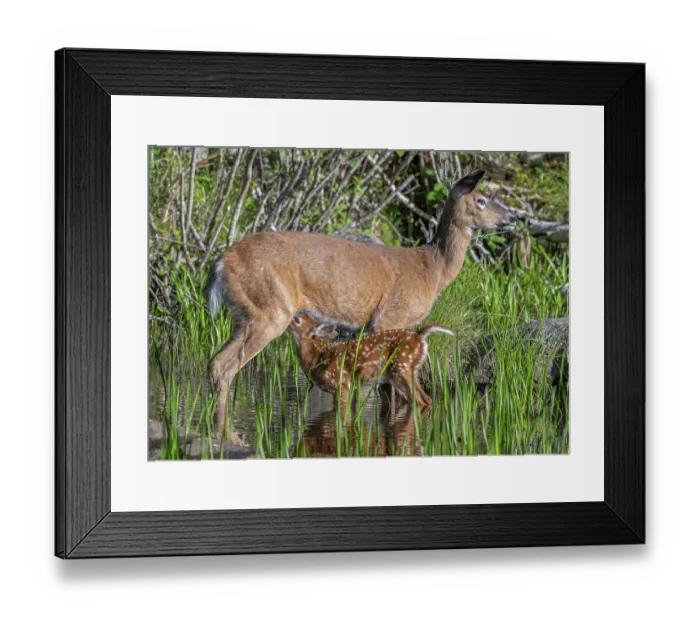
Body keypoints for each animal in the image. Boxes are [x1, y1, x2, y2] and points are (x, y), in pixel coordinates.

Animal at [287, 311, 454, 409]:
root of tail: (420, 337)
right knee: (422, 399)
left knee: (422, 399)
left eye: (296, 319)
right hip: (404, 373)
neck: (317, 358)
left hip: (402, 368)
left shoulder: (342, 383)